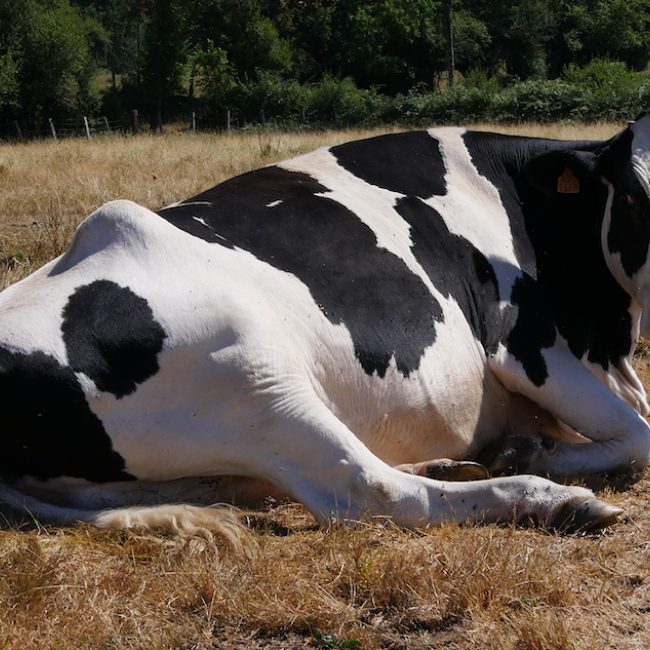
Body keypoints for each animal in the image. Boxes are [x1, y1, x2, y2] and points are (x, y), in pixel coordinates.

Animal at [2, 111, 650, 538]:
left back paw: (452, 463)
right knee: (365, 490)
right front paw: (536, 454)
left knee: (232, 484)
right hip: (257, 376)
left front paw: (526, 445)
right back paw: (554, 500)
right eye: (634, 197)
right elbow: (639, 435)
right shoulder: (525, 346)